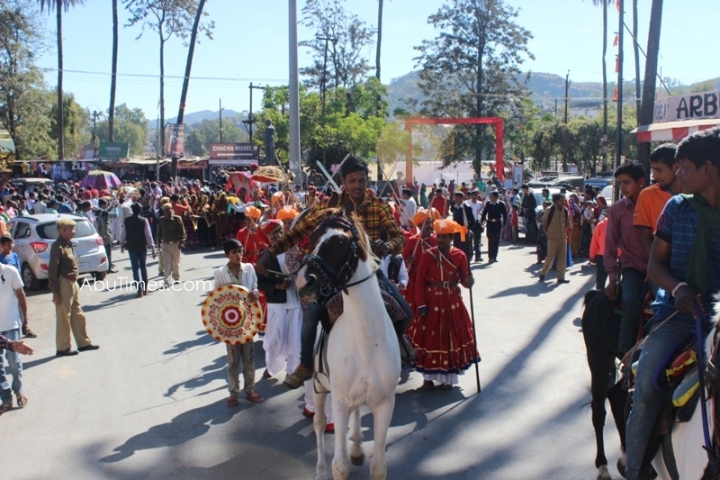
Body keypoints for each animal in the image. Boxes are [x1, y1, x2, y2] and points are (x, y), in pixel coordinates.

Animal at [296, 217, 402, 480]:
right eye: (311, 237)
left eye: (340, 242)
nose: (303, 281)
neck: (366, 343)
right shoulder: (340, 401)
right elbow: (340, 465)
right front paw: (335, 466)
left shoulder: (385, 404)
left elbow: (378, 468)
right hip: (319, 387)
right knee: (319, 424)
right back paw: (321, 471)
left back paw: (355, 446)